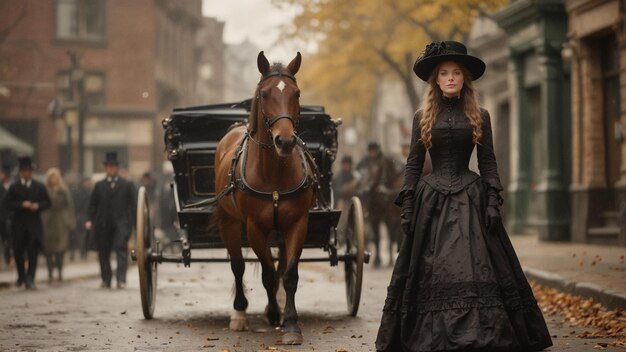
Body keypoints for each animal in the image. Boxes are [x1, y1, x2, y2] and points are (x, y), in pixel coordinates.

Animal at [213, 51, 314, 344]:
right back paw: (240, 313)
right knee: (238, 266)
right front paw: (272, 313)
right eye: (265, 94)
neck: (274, 172)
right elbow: (267, 274)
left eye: (297, 93)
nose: (285, 141)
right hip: (229, 222)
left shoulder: (297, 223)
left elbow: (289, 273)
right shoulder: (254, 227)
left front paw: (290, 323)